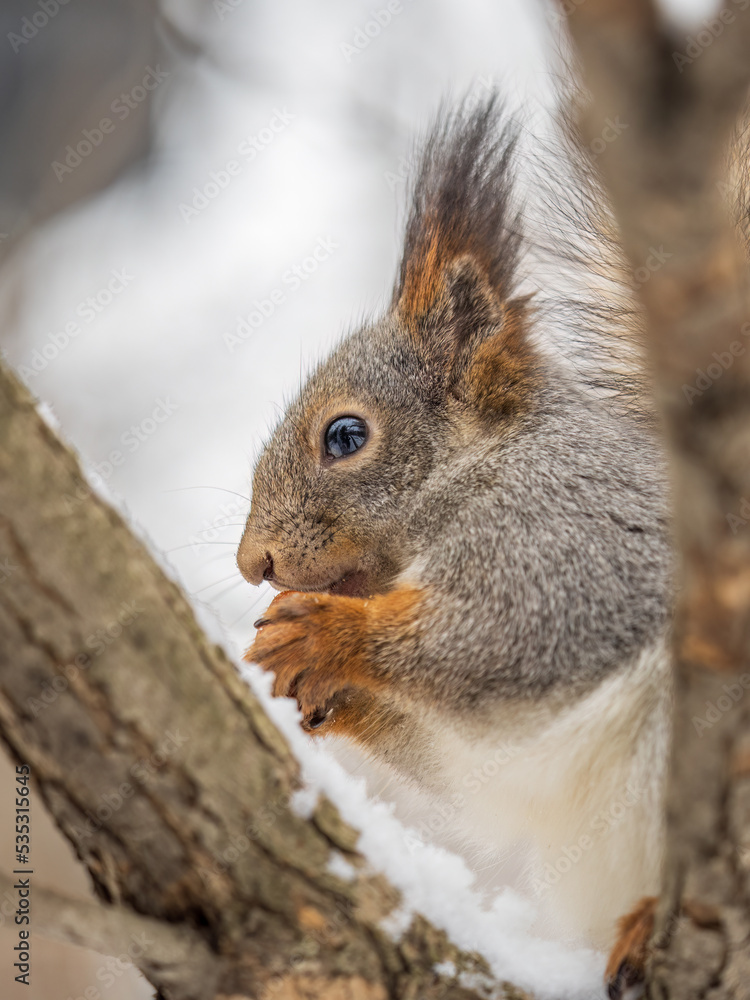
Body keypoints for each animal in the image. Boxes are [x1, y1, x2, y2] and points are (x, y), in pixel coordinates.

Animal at [236, 96, 675, 998]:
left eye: (345, 435)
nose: (251, 562)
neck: (480, 468)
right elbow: (464, 765)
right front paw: (316, 686)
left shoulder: (576, 537)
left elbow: (507, 637)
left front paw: (329, 636)